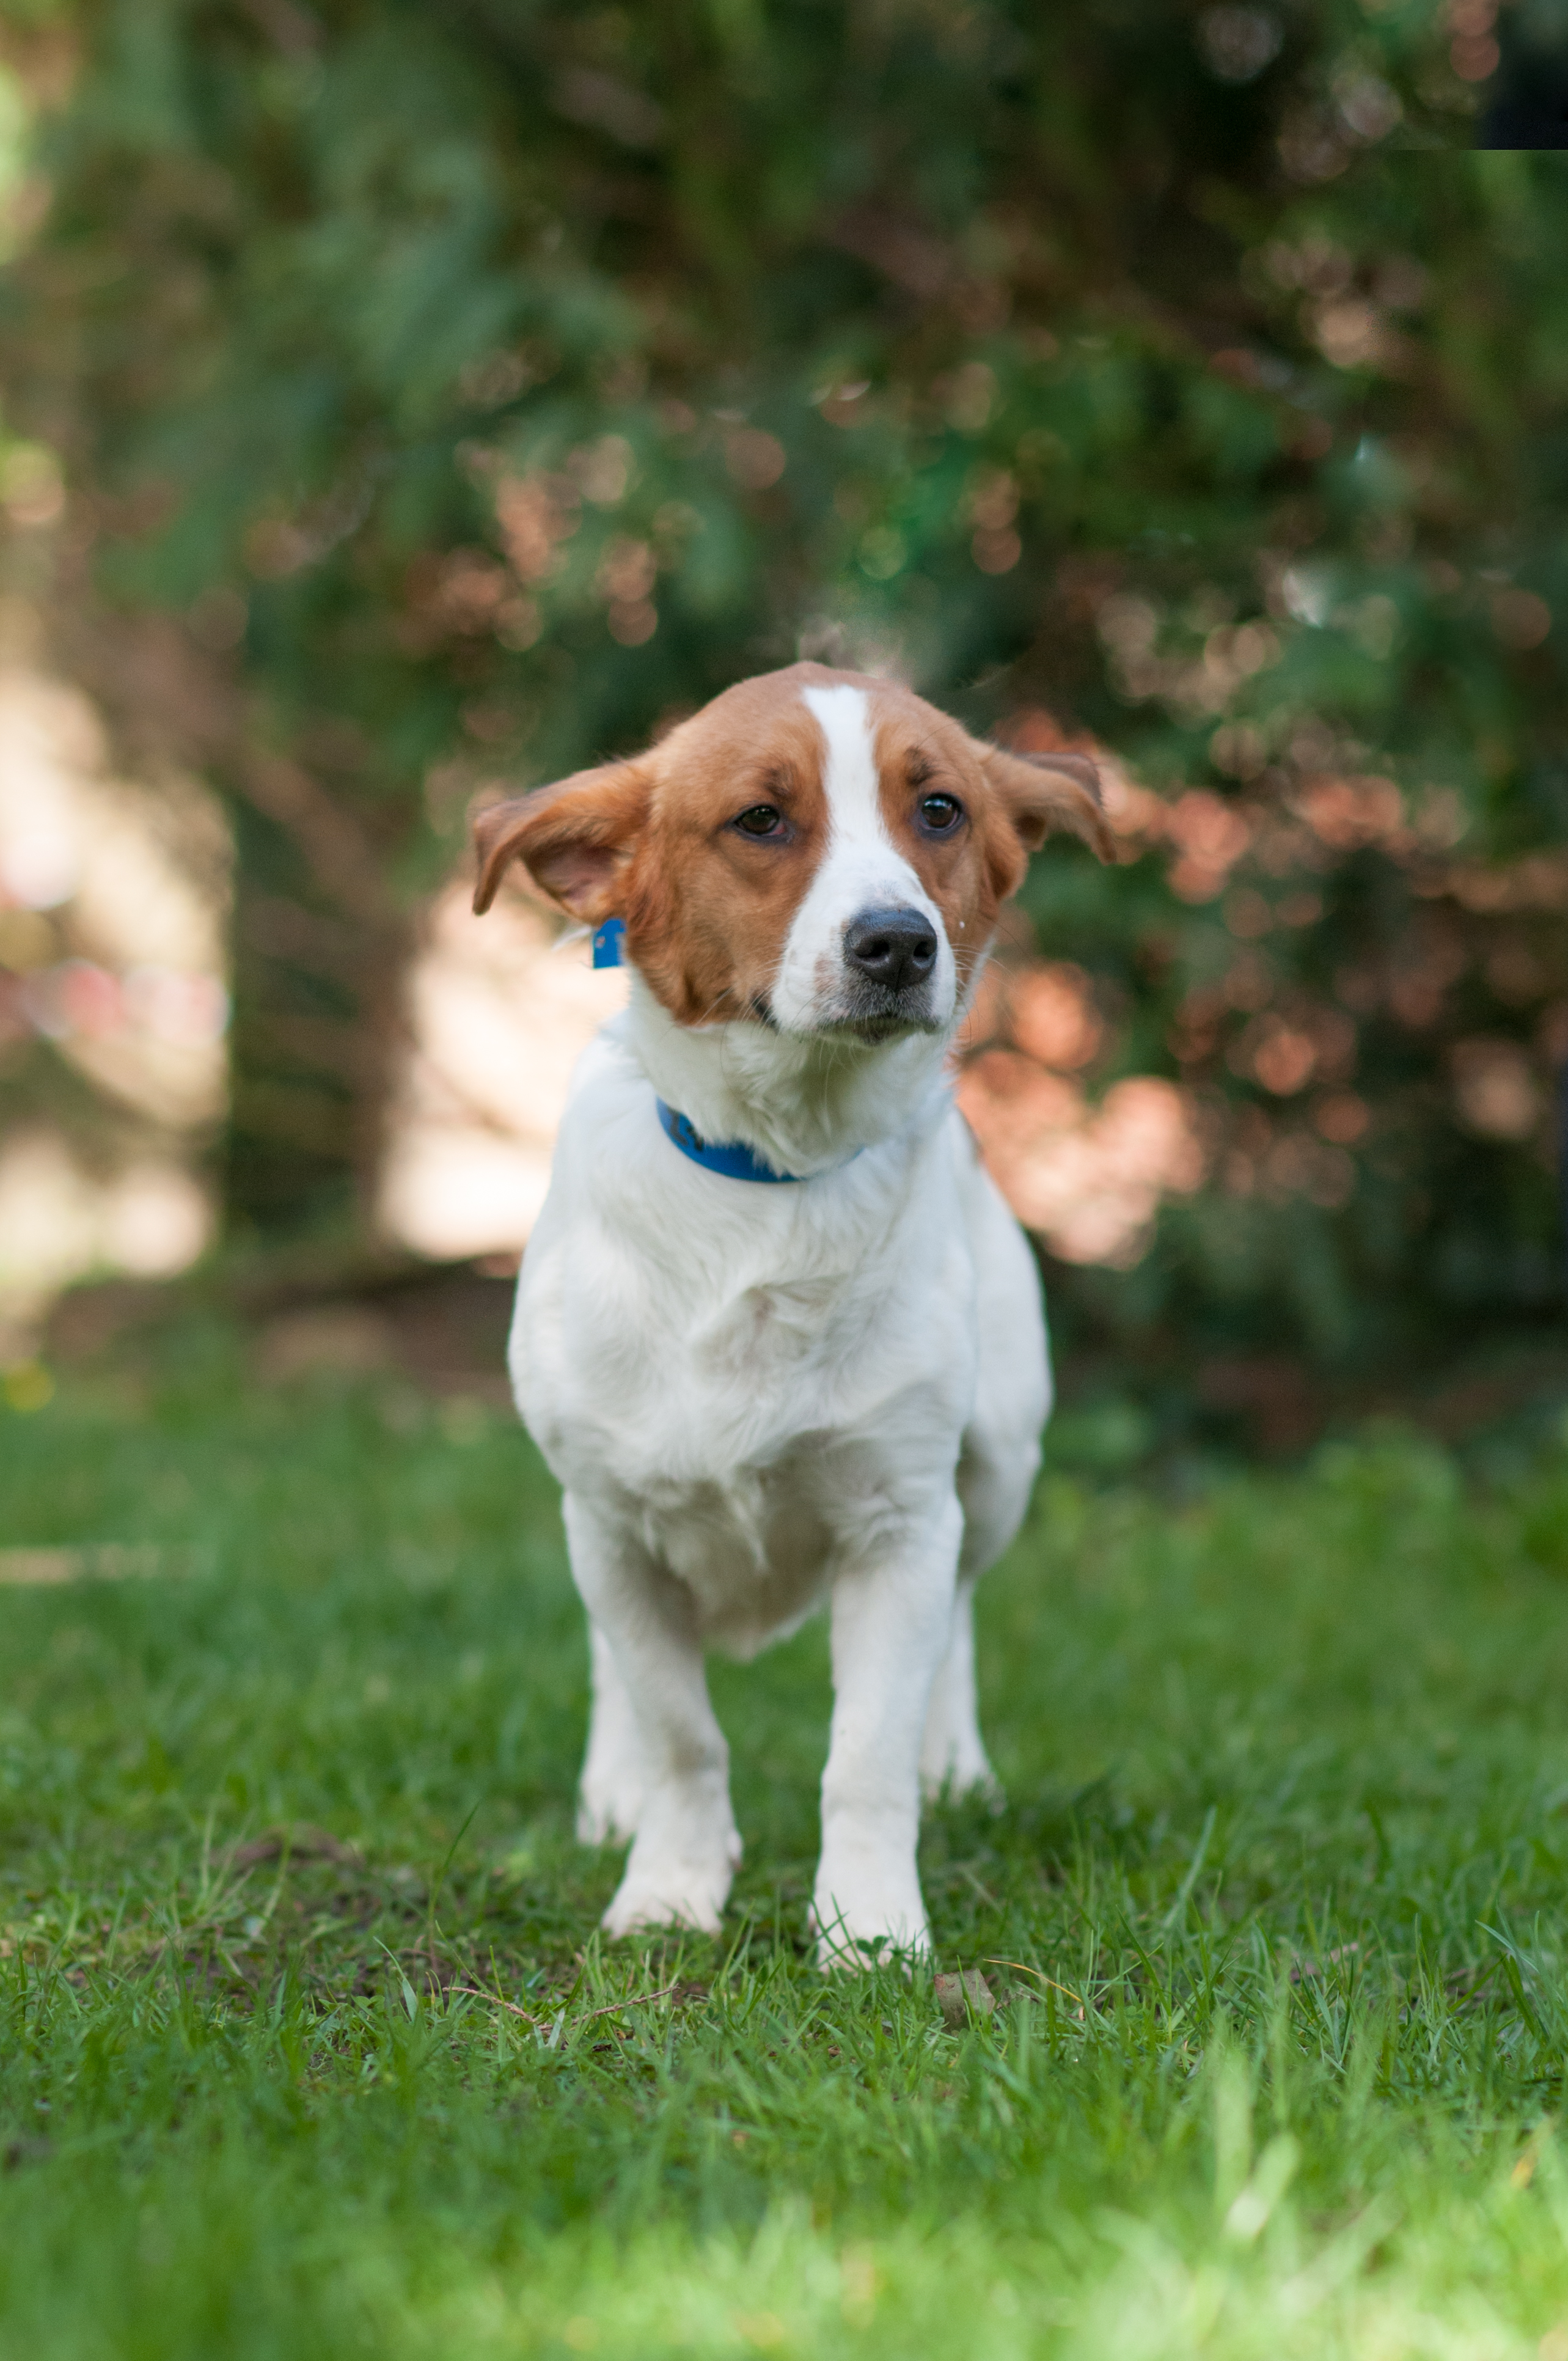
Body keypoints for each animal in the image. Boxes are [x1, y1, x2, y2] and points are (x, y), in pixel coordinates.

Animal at [472, 661, 1110, 1955]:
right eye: (761, 820)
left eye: (941, 809)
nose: (898, 942)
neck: (773, 1174)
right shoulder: (611, 1522)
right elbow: (679, 1727)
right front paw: (670, 1884)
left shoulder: (900, 1520)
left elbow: (864, 1752)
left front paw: (868, 1925)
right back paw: (611, 1790)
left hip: (1000, 1459)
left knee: (961, 1612)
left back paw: (953, 1766)